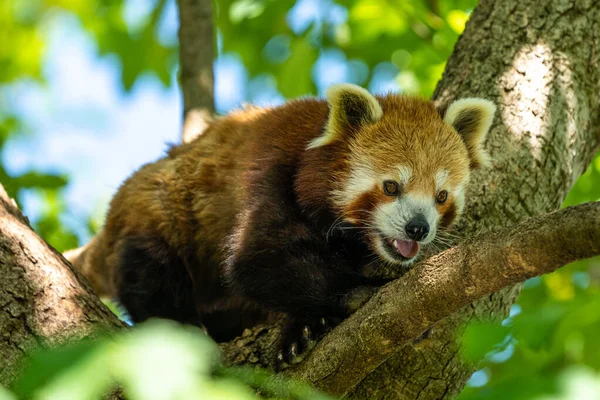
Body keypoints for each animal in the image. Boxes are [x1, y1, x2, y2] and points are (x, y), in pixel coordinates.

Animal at [67, 83, 496, 364]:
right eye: (391, 186)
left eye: (441, 196)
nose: (417, 228)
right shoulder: (267, 170)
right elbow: (257, 259)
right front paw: (358, 292)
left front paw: (301, 326)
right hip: (153, 216)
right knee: (151, 274)